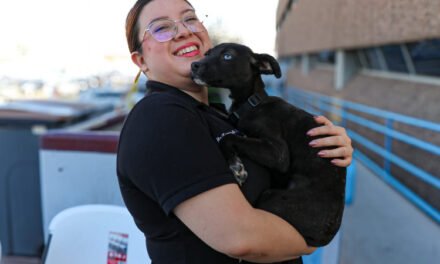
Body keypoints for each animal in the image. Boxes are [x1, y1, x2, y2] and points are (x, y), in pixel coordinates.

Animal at [192, 42, 348, 246]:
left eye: (227, 56)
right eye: (207, 53)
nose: (193, 65)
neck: (252, 103)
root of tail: (326, 236)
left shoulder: (278, 153)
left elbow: (229, 138)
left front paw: (235, 167)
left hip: (271, 197)